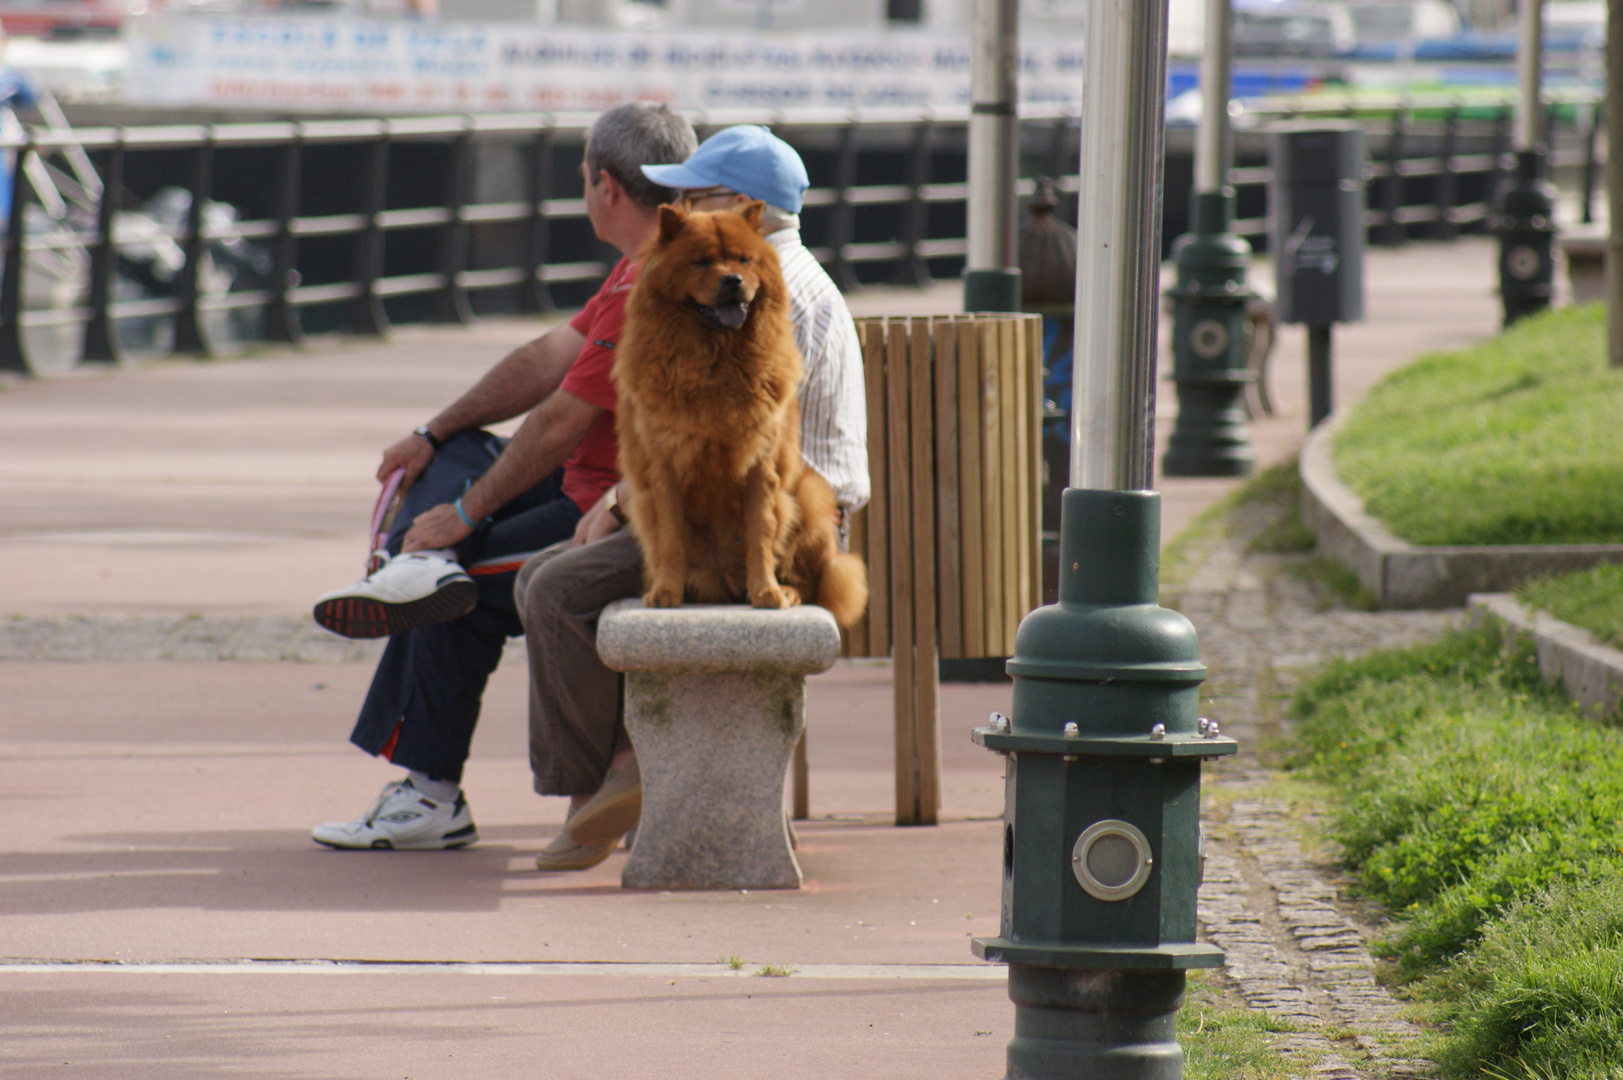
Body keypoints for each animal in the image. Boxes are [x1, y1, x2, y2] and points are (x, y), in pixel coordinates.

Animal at [610, 201, 869, 623]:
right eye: (701, 261)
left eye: (744, 260)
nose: (732, 280)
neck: (717, 357)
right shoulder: (664, 469)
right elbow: (671, 540)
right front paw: (665, 592)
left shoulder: (761, 466)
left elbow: (761, 536)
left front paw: (766, 592)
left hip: (809, 495)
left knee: (815, 579)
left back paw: (787, 591)